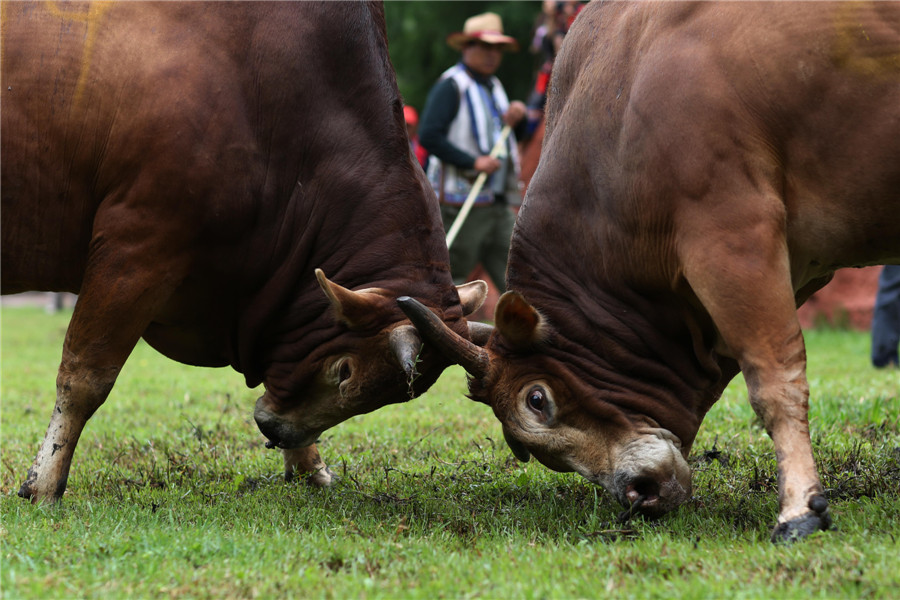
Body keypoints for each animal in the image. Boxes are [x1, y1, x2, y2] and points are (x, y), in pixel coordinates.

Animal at [1, 2, 486, 504]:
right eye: (344, 371)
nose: (279, 431)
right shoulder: (136, 246)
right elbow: (84, 377)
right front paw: (45, 481)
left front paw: (309, 464)